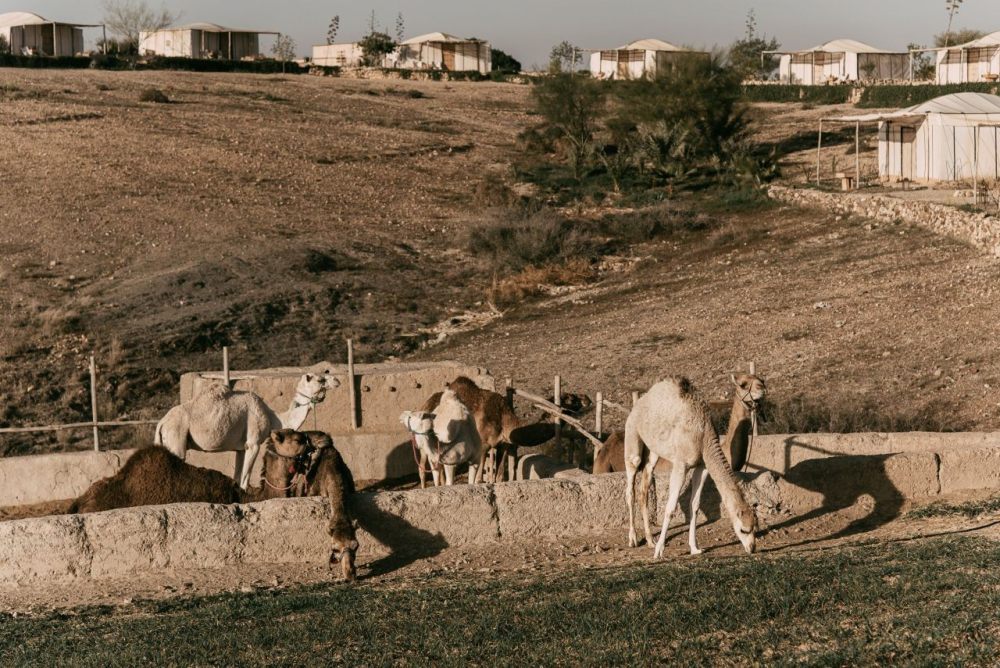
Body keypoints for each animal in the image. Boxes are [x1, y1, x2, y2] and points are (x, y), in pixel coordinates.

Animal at [624, 376, 756, 560]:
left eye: (755, 528)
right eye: (743, 529)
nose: (752, 548)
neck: (704, 436)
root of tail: (638, 404)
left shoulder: (702, 466)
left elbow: (695, 505)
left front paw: (695, 548)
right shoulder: (681, 464)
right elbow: (670, 507)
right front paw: (659, 551)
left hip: (653, 452)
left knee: (645, 484)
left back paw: (650, 540)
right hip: (632, 436)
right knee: (631, 486)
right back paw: (634, 539)